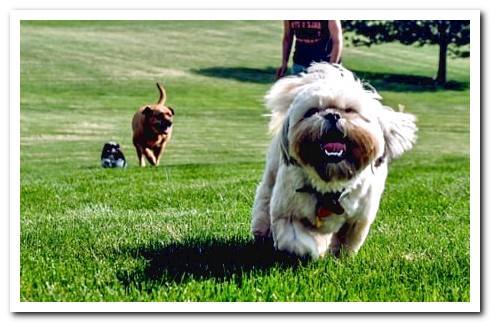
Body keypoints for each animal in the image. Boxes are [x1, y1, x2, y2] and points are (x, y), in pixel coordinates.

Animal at [252, 64, 418, 260]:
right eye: (312, 111)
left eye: (350, 110)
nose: (332, 115)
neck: (331, 185)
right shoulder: (289, 214)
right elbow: (298, 241)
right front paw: (314, 250)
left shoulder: (358, 220)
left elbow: (346, 241)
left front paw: (339, 257)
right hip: (271, 177)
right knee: (264, 199)